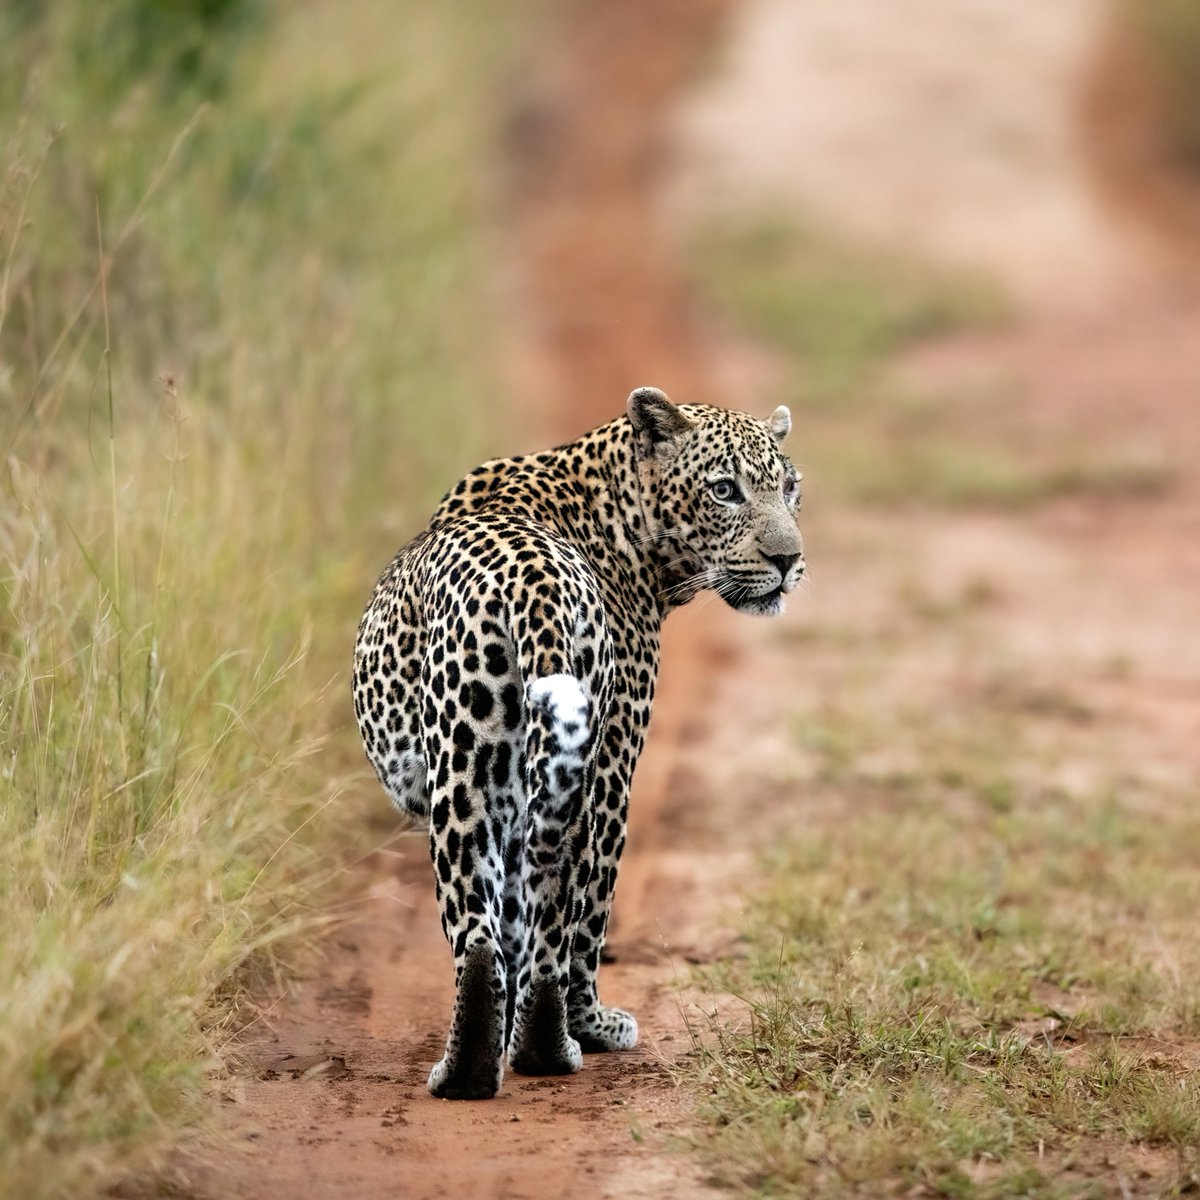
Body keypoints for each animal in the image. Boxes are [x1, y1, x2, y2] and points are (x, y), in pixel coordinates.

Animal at [352, 387, 805, 1100]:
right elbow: (592, 910)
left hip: (472, 764)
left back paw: (484, 1060)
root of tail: (532, 584)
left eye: (790, 488)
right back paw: (561, 1039)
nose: (788, 562)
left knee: (487, 926)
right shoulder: (618, 752)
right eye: (725, 490)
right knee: (562, 907)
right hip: (552, 767)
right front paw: (587, 1025)